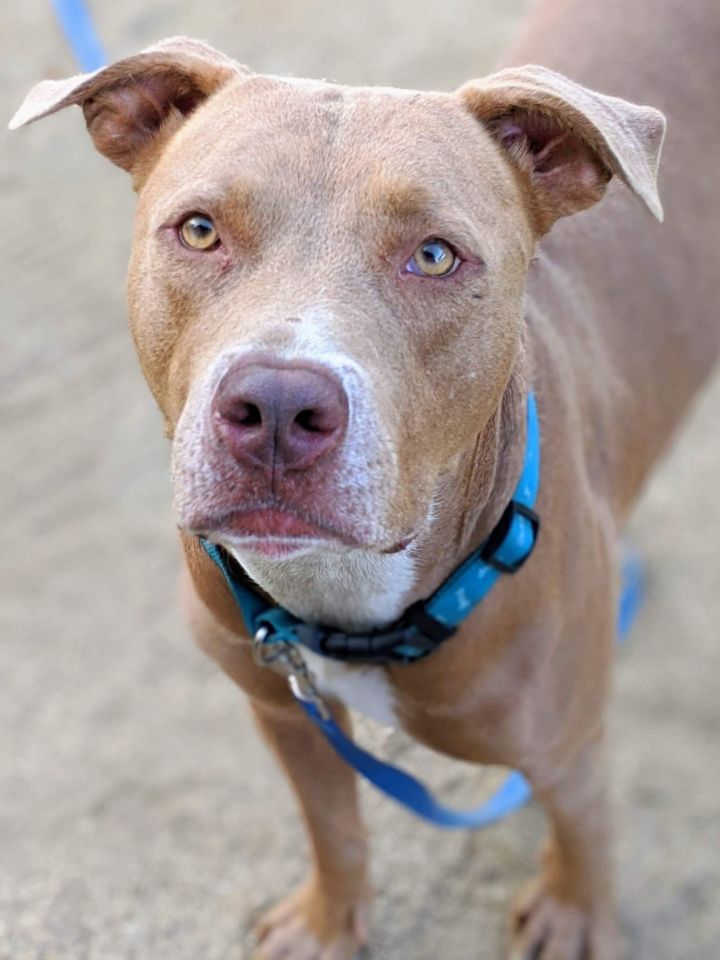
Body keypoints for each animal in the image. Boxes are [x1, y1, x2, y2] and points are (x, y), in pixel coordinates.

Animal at [11, 0, 720, 956]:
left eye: (435, 255)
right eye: (198, 230)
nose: (276, 405)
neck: (344, 600)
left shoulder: (568, 752)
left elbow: (584, 837)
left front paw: (573, 917)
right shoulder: (285, 713)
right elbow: (334, 824)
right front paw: (328, 921)